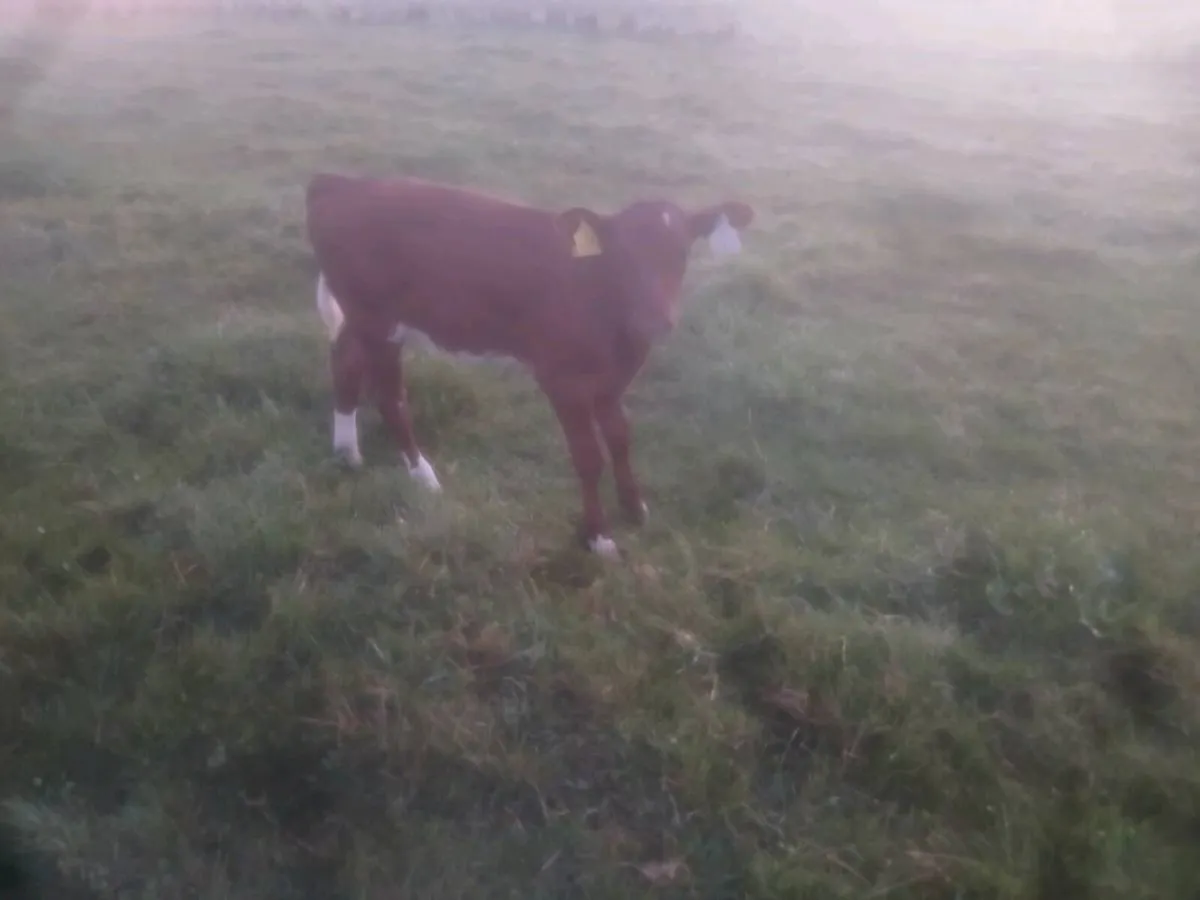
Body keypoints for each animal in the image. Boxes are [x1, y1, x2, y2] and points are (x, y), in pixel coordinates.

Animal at [305, 173, 754, 557]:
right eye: (622, 256)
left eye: (681, 253)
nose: (654, 320)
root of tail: (341, 182)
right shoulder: (562, 378)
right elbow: (589, 456)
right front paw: (599, 536)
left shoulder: (613, 379)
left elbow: (620, 438)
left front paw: (634, 507)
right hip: (378, 320)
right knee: (389, 396)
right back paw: (423, 476)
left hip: (364, 320)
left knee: (345, 361)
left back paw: (347, 452)